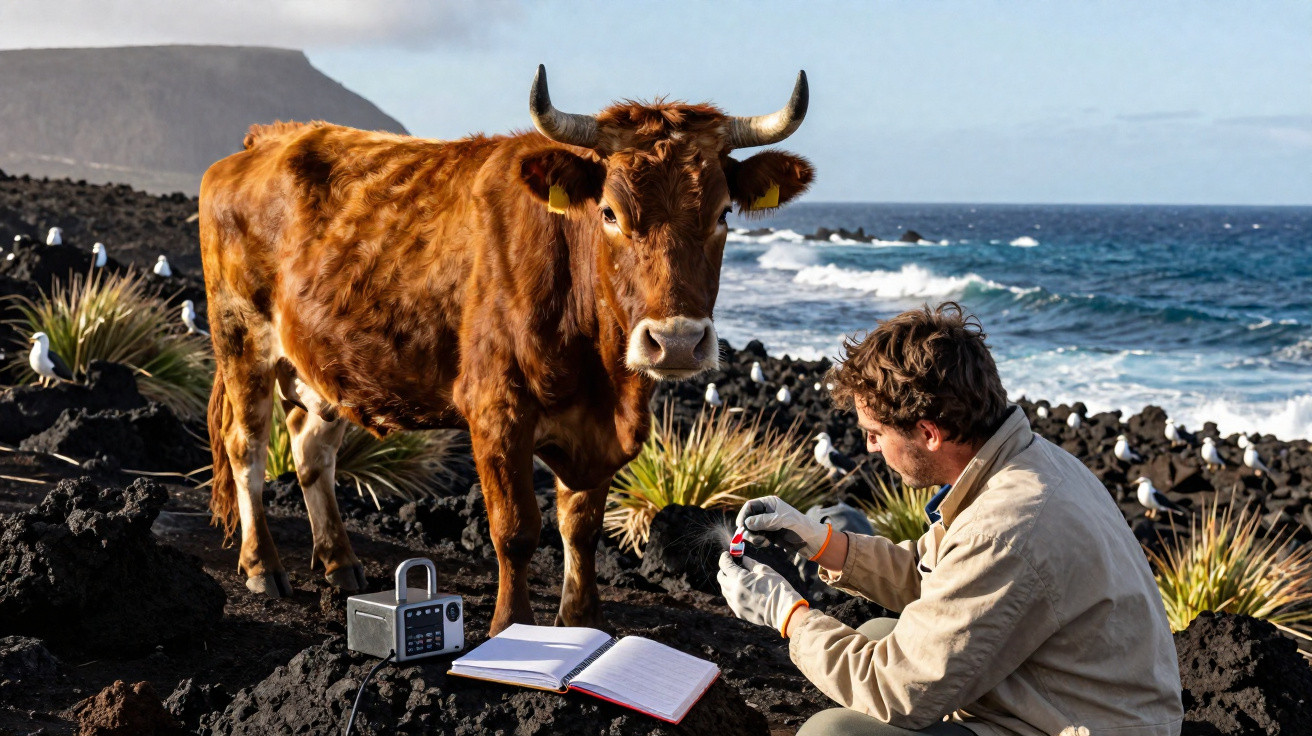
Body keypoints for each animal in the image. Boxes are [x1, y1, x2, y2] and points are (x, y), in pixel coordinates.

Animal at [200, 66, 813, 634]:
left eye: (723, 214)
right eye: (610, 213)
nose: (678, 341)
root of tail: (262, 144)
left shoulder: (597, 430)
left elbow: (581, 526)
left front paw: (582, 621)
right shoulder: (496, 410)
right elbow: (515, 529)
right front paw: (510, 629)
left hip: (324, 366)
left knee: (311, 452)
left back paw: (339, 563)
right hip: (242, 338)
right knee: (247, 449)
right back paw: (262, 566)